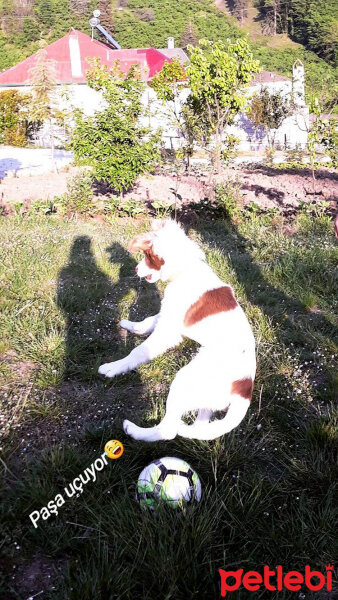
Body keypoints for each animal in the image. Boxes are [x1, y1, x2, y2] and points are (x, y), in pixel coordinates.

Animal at [98, 220, 256, 440]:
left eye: (148, 256)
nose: (136, 268)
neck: (186, 271)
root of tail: (244, 389)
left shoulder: (169, 331)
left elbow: (138, 351)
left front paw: (114, 367)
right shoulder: (169, 316)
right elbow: (150, 320)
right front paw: (133, 326)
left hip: (184, 380)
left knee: (168, 430)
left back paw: (135, 431)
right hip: (204, 397)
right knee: (199, 427)